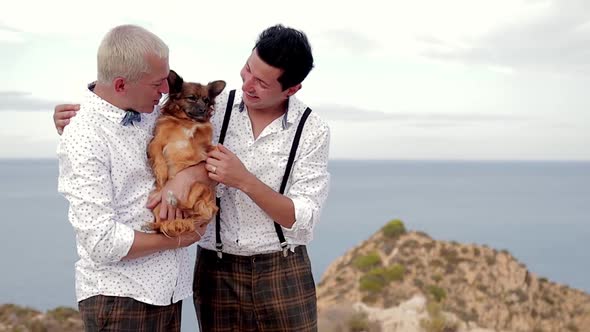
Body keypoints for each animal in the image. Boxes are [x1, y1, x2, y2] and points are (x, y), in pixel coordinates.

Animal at [147, 69, 225, 236]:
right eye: (191, 98)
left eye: (206, 100)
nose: (203, 109)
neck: (187, 121)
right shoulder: (156, 142)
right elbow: (159, 159)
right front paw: (162, 174)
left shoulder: (206, 146)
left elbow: (214, 149)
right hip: (157, 202)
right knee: (163, 223)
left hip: (198, 186)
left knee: (188, 207)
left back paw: (174, 201)